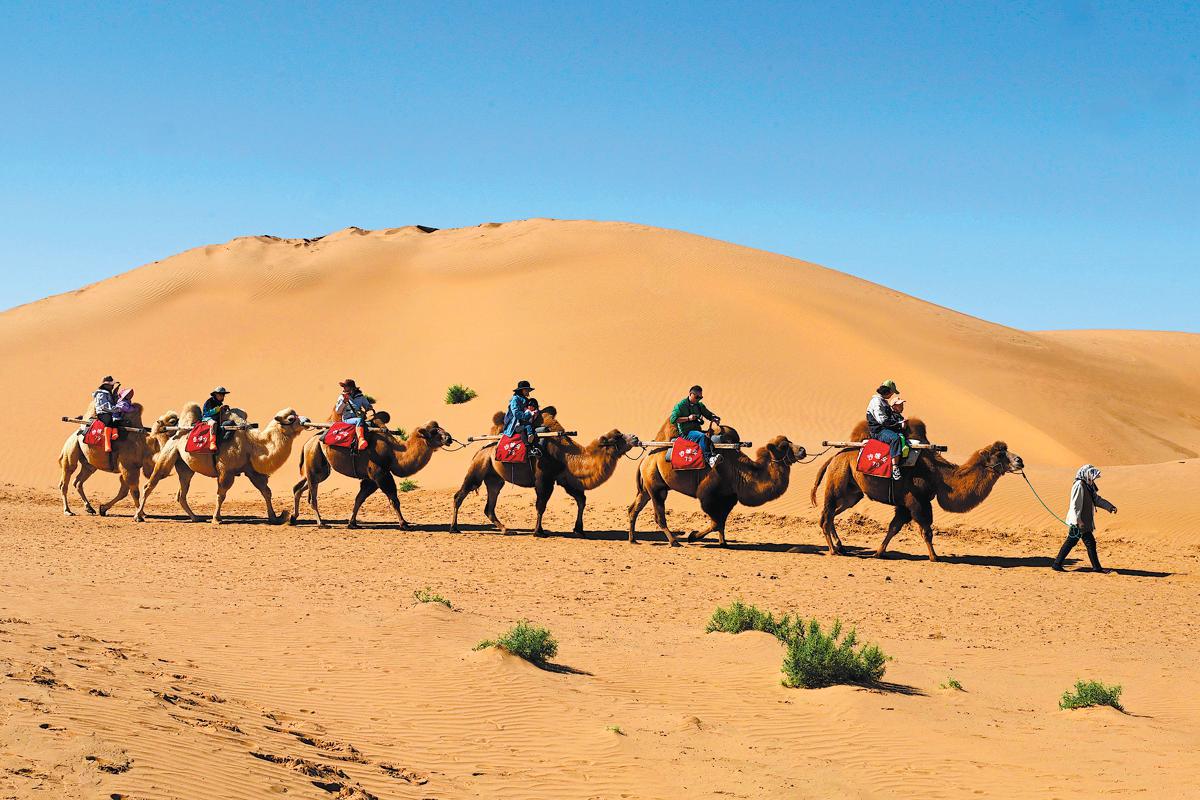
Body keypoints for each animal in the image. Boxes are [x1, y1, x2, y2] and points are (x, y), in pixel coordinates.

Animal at [133, 400, 309, 525]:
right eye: (291, 418)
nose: (307, 419)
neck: (252, 444)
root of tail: (176, 432)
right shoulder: (226, 470)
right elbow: (221, 494)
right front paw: (216, 518)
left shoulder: (251, 470)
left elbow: (266, 491)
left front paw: (275, 517)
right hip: (168, 457)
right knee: (150, 485)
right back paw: (138, 516)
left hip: (185, 467)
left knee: (181, 493)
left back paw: (195, 517)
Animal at [289, 412, 453, 532]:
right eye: (434, 432)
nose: (449, 438)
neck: (395, 454)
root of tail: (308, 442)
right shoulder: (380, 474)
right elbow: (394, 499)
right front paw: (404, 524)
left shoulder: (371, 480)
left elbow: (359, 499)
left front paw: (352, 523)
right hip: (314, 459)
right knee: (312, 496)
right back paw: (321, 523)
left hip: (321, 468)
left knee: (300, 487)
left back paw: (293, 518)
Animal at [448, 407, 638, 537]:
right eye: (618, 437)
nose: (635, 437)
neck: (567, 456)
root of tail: (481, 450)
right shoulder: (544, 478)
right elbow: (541, 504)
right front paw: (539, 531)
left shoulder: (565, 479)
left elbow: (581, 500)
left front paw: (579, 529)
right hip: (478, 467)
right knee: (460, 495)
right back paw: (454, 528)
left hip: (494, 477)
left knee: (490, 505)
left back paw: (505, 529)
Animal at [628, 419, 806, 544]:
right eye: (784, 446)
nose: (802, 450)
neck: (739, 471)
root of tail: (645, 459)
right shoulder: (708, 495)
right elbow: (716, 522)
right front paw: (693, 536)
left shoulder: (729, 498)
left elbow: (722, 522)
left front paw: (723, 542)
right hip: (656, 485)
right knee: (659, 515)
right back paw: (674, 541)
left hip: (648, 486)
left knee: (634, 509)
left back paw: (633, 539)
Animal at [806, 419, 1022, 563]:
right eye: (1000, 454)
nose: (1020, 460)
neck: (940, 476)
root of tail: (835, 456)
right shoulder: (917, 500)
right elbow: (926, 530)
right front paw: (934, 557)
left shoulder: (904, 504)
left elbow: (894, 527)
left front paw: (878, 552)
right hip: (837, 483)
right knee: (826, 516)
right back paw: (833, 550)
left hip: (853, 493)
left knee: (832, 514)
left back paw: (841, 547)